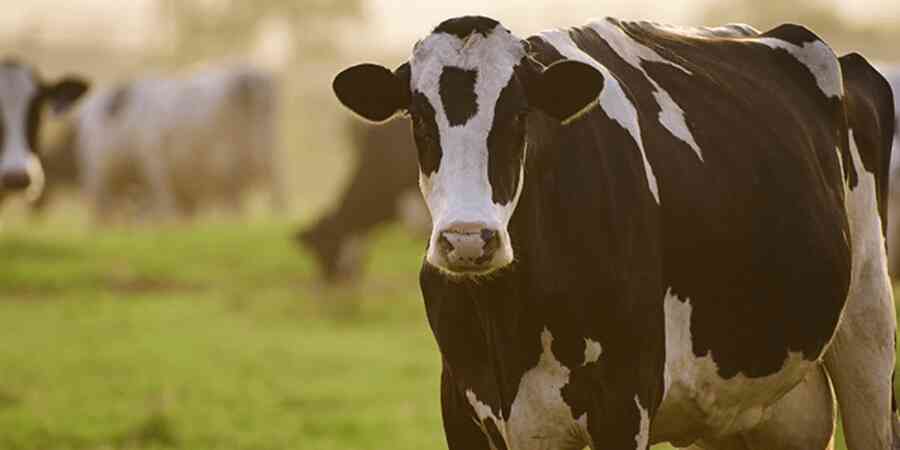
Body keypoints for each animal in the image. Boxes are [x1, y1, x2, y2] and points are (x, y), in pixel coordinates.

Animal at [333, 16, 898, 449]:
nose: (468, 239)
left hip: (869, 332)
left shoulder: (623, 399)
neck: (506, 320)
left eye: (518, 117)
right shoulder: (462, 405)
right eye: (419, 120)